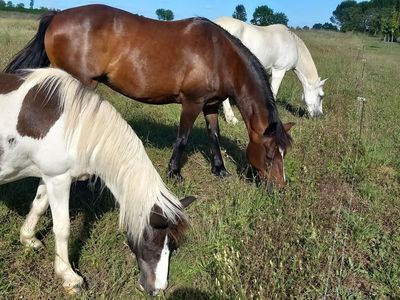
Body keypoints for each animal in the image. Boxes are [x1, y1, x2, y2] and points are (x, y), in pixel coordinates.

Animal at [0, 68, 195, 298]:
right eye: (152, 243)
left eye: (171, 245)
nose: (158, 289)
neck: (74, 126)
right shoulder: (59, 180)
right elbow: (63, 228)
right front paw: (69, 277)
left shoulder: (49, 175)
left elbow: (38, 206)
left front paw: (28, 238)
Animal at [5, 4, 294, 188]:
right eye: (270, 156)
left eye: (284, 154)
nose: (279, 188)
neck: (220, 55)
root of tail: (57, 16)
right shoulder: (192, 102)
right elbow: (182, 138)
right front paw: (175, 173)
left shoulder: (210, 105)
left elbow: (214, 136)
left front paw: (220, 169)